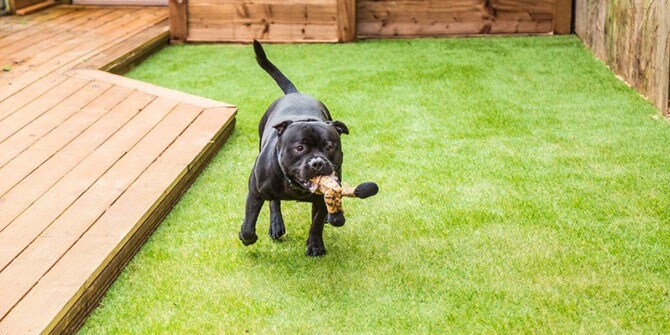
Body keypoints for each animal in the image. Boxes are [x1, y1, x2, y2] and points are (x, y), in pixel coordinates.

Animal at [239, 41, 350, 258]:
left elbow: (316, 222)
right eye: (299, 148)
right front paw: (246, 237)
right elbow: (248, 223)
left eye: (329, 146)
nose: (317, 163)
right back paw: (276, 225)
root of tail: (294, 93)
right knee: (274, 202)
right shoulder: (254, 191)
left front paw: (315, 245)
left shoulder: (320, 198)